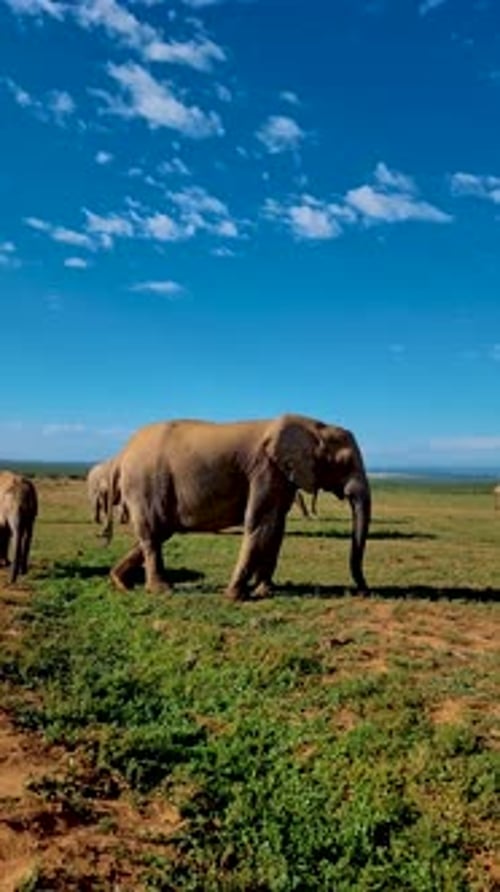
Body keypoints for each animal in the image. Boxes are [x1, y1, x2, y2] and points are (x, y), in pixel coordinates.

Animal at [105, 414, 371, 600]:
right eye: (344, 463)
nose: (363, 591)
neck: (313, 425)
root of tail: (123, 452)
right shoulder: (265, 470)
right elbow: (259, 524)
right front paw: (234, 596)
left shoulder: (281, 476)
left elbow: (276, 527)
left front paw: (265, 591)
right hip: (145, 483)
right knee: (153, 533)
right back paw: (161, 590)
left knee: (158, 532)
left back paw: (120, 583)